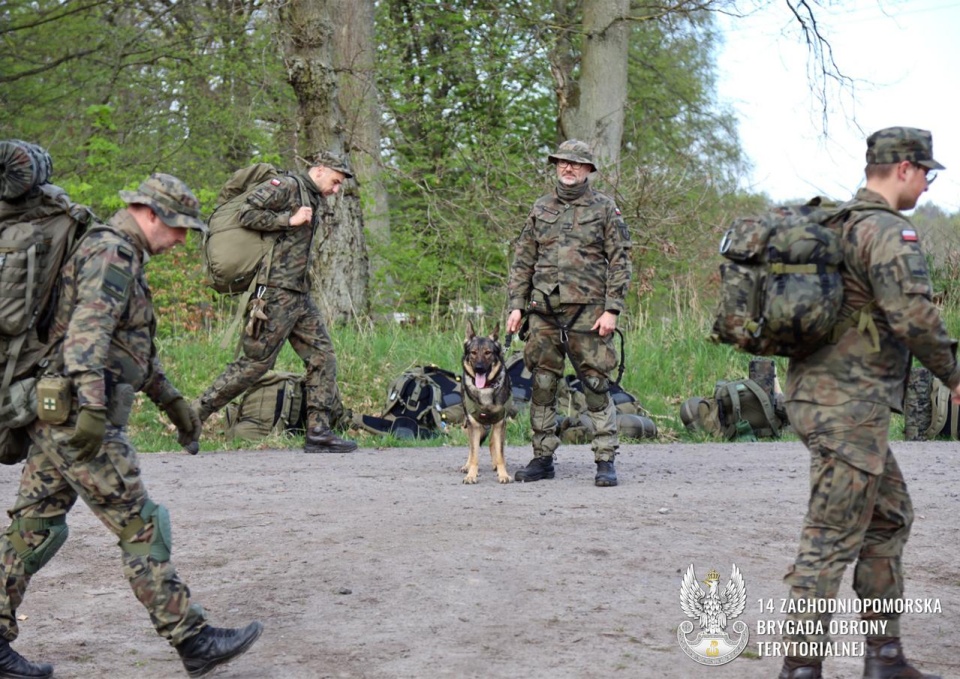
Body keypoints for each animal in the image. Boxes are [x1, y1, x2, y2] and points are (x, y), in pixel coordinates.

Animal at [462, 320, 512, 484]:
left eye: (488, 352)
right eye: (473, 353)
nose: (479, 368)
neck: (485, 389)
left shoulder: (500, 423)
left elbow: (500, 453)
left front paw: (503, 474)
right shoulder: (473, 424)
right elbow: (474, 453)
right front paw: (471, 475)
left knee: (492, 443)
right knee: (472, 447)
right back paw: (467, 466)